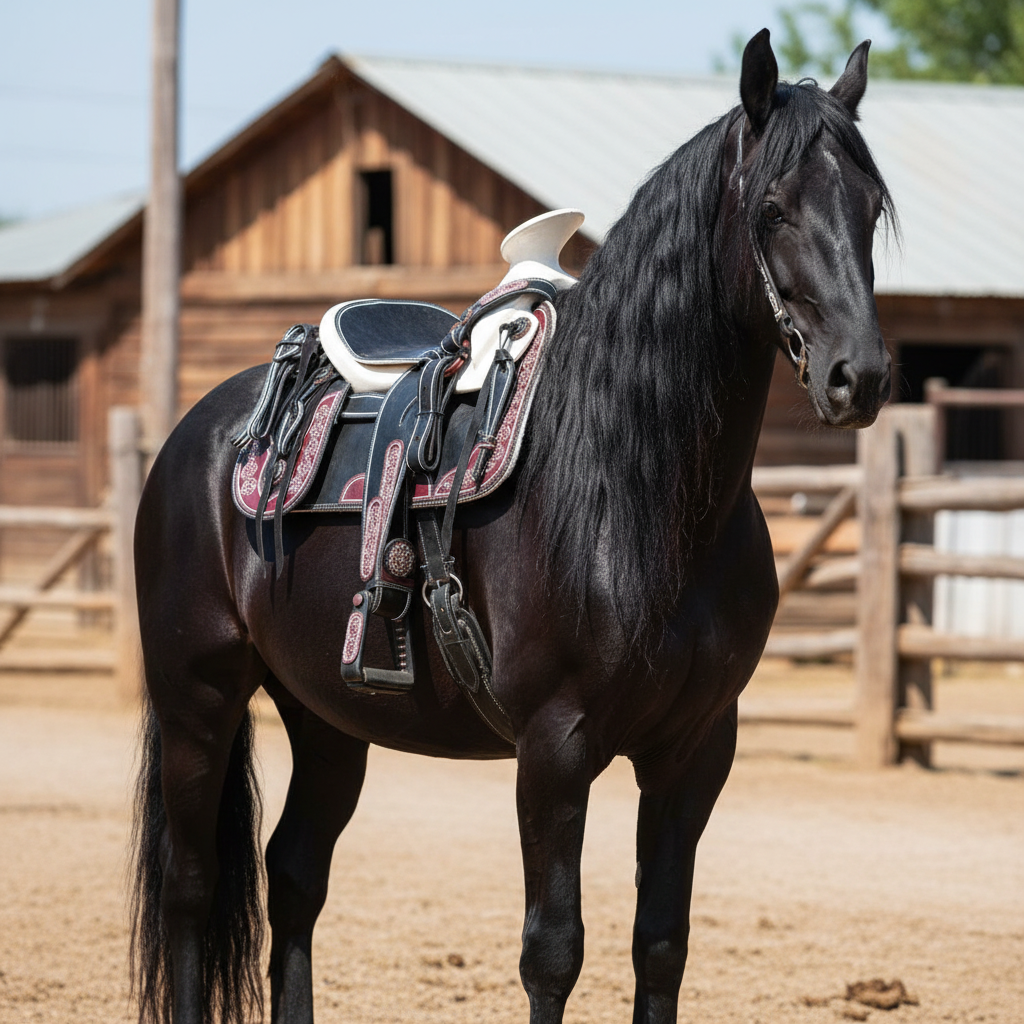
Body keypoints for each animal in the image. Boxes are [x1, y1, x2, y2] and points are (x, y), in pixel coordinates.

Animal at [130, 29, 894, 1024]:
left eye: (871, 208)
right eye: (772, 209)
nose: (860, 376)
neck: (636, 494)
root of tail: (203, 431)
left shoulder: (694, 753)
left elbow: (661, 944)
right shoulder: (555, 748)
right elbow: (553, 952)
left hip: (325, 712)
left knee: (293, 877)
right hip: (199, 693)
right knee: (190, 886)